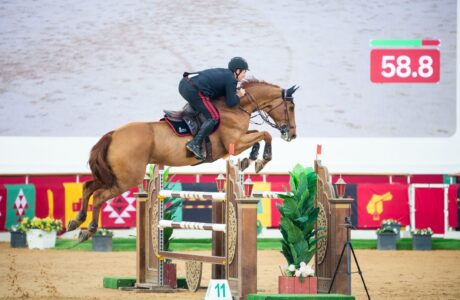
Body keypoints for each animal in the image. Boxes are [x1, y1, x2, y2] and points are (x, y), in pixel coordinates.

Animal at [67, 78, 298, 241]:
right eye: (291, 107)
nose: (292, 135)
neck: (236, 107)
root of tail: (113, 134)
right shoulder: (235, 141)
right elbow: (264, 135)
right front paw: (261, 159)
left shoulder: (239, 139)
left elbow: (257, 135)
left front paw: (249, 160)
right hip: (127, 179)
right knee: (98, 196)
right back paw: (88, 230)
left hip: (113, 175)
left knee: (88, 187)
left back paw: (76, 222)